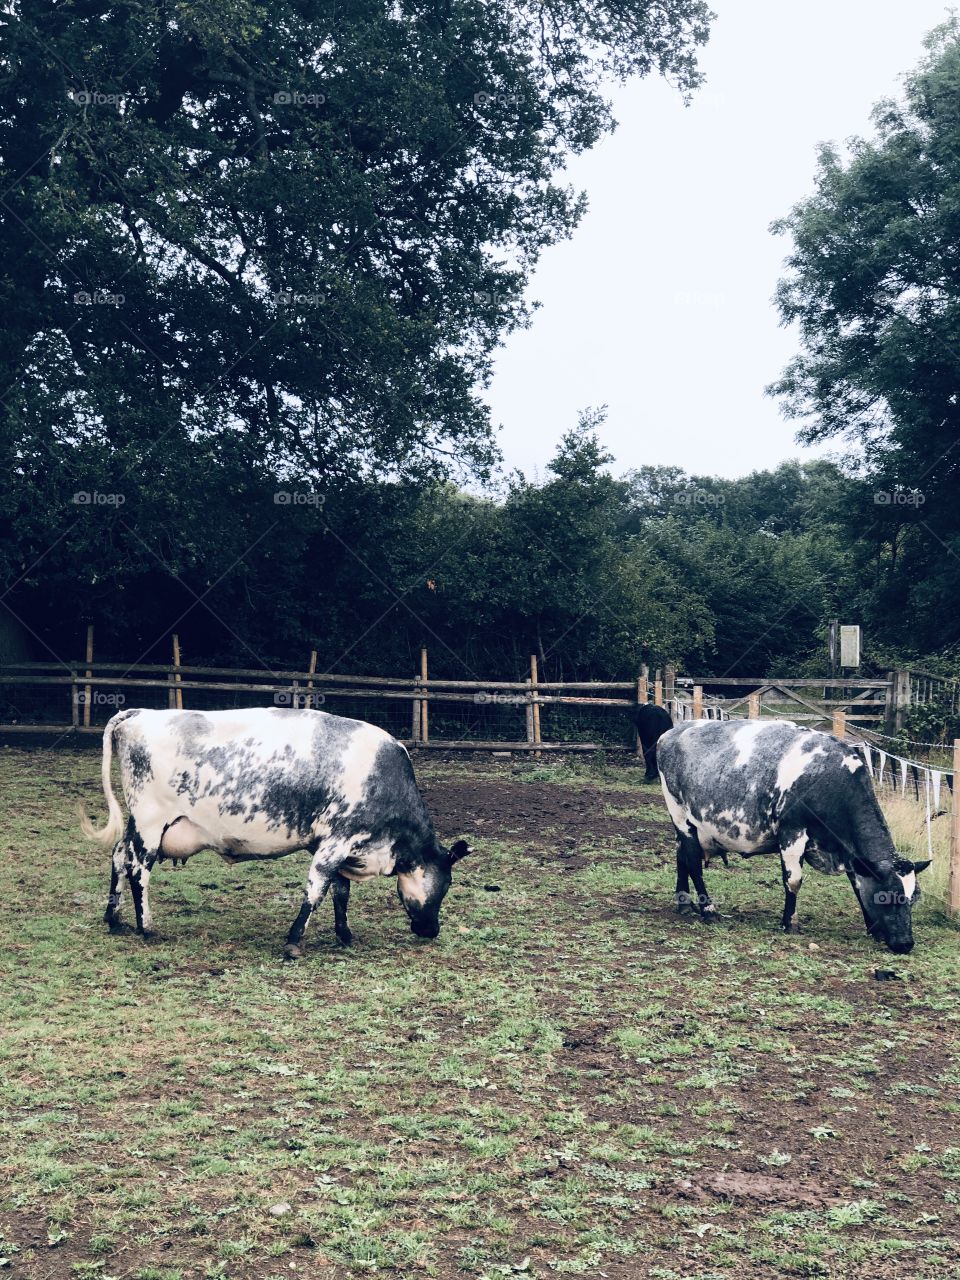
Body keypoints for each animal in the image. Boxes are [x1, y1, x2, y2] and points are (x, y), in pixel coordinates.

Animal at [80, 707, 470, 958]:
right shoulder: (336, 841)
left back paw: (114, 919)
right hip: (150, 822)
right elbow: (316, 891)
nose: (431, 930)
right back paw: (146, 927)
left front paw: (344, 935)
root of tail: (139, 713)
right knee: (138, 869)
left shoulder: (336, 846)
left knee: (119, 856)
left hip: (137, 823)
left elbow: (340, 892)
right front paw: (294, 943)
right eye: (445, 886)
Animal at [656, 719, 930, 953]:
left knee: (682, 856)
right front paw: (790, 922)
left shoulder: (850, 852)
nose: (905, 944)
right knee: (692, 861)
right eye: (887, 898)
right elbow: (794, 880)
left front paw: (872, 929)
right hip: (680, 815)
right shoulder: (793, 831)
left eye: (913, 898)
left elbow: (856, 885)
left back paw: (683, 901)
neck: (829, 778)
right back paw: (708, 909)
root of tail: (673, 732)